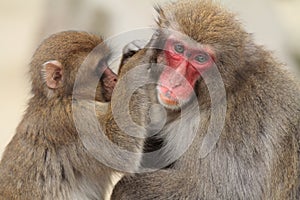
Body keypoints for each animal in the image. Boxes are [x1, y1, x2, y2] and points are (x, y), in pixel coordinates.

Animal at [0, 30, 144, 200]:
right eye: (99, 67)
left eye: (106, 63)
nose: (115, 78)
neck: (62, 97)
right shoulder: (74, 120)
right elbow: (120, 149)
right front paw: (142, 62)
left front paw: (130, 54)